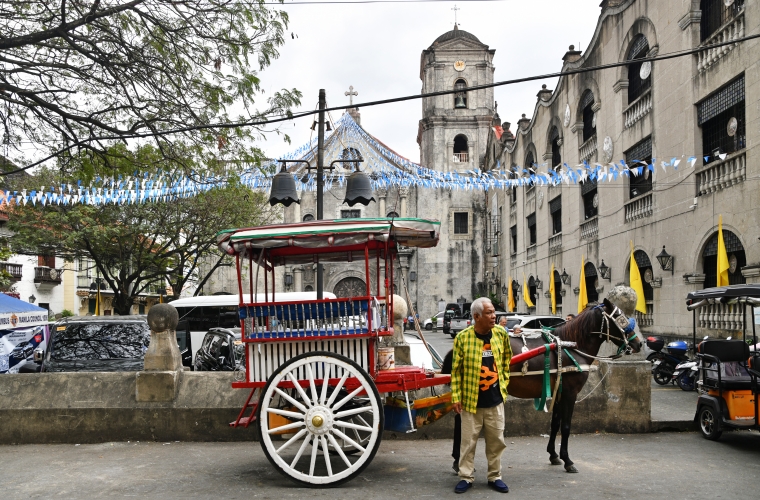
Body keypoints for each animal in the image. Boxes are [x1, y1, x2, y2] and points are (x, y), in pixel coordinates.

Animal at [504, 296, 640, 472]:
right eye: (621, 318)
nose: (638, 344)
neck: (571, 346)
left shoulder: (559, 391)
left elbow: (555, 424)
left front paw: (553, 454)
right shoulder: (570, 393)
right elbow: (566, 426)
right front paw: (567, 460)